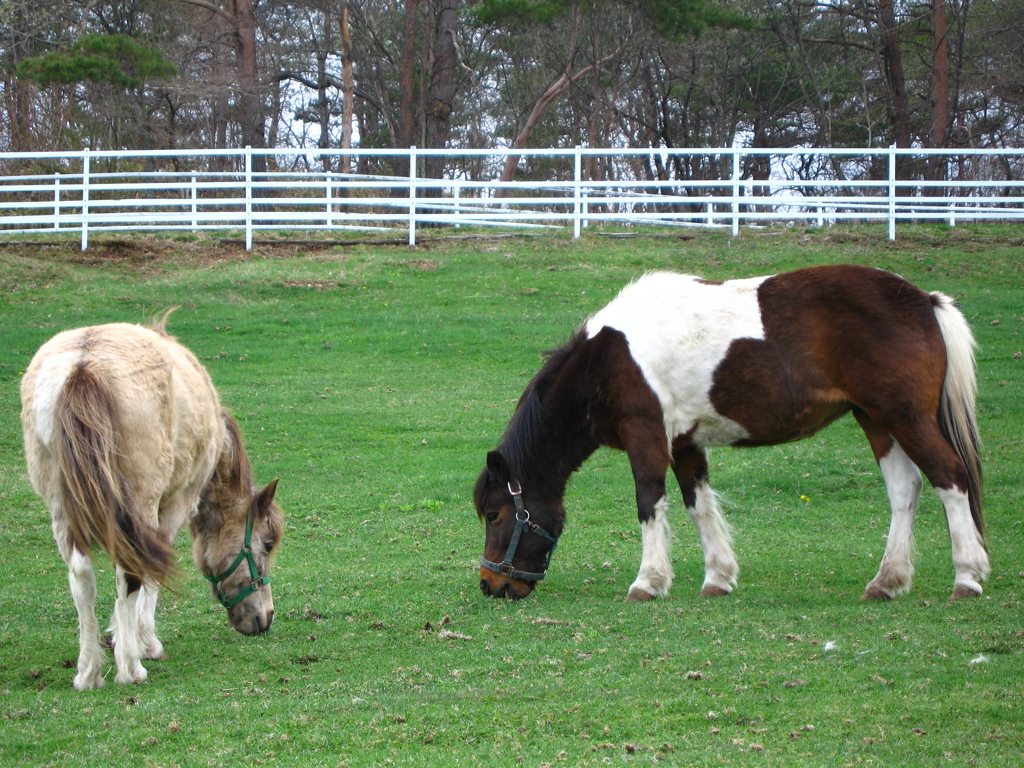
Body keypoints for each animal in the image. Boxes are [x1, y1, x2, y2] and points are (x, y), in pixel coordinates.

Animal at [20, 317, 284, 692]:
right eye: (267, 543)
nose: (267, 616)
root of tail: (84, 365)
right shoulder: (175, 504)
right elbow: (153, 572)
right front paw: (144, 643)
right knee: (129, 571)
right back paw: (130, 668)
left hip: (63, 510)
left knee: (81, 576)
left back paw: (88, 672)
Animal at [475, 268, 987, 606]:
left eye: (495, 514)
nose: (491, 585)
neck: (608, 358)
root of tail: (923, 300)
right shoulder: (683, 442)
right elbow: (698, 505)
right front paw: (718, 578)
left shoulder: (645, 437)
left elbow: (649, 502)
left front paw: (648, 582)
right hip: (876, 420)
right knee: (905, 491)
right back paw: (887, 581)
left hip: (905, 418)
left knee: (950, 478)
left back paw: (967, 577)